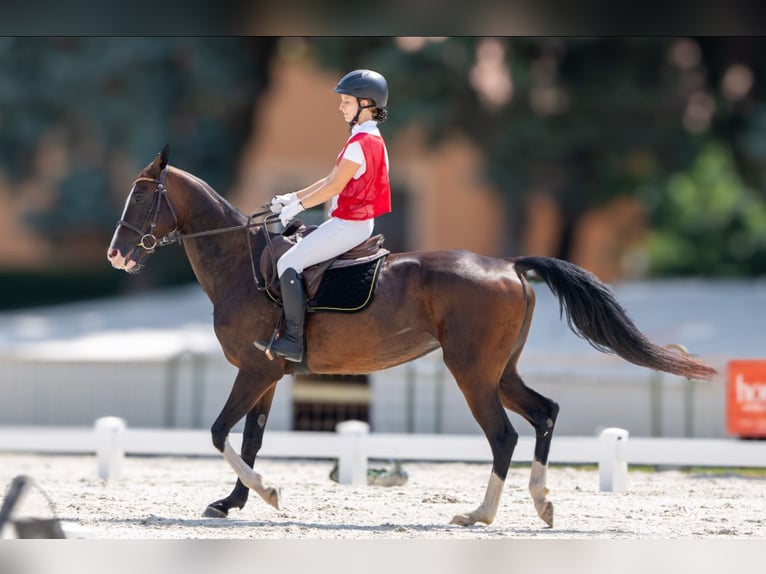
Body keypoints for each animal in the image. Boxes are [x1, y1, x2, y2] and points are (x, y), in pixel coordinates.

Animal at [105, 148, 716, 532]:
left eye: (141, 197)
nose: (116, 255)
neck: (242, 265)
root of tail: (510, 266)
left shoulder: (254, 371)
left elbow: (218, 432)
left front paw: (268, 493)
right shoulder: (269, 375)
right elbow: (249, 439)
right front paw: (233, 502)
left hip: (471, 372)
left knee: (503, 436)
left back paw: (479, 516)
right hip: (500, 370)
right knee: (544, 413)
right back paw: (541, 504)